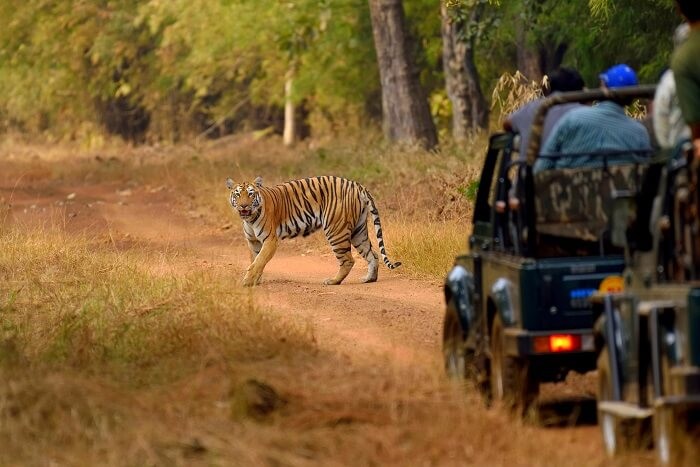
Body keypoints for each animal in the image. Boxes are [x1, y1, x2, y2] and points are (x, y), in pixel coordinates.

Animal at [227, 175, 402, 286]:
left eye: (251, 194)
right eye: (238, 194)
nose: (243, 206)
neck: (249, 219)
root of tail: (356, 184)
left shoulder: (270, 240)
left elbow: (259, 261)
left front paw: (247, 281)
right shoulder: (253, 241)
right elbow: (255, 260)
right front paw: (255, 280)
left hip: (335, 230)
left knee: (348, 260)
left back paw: (333, 281)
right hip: (358, 231)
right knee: (373, 254)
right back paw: (369, 279)